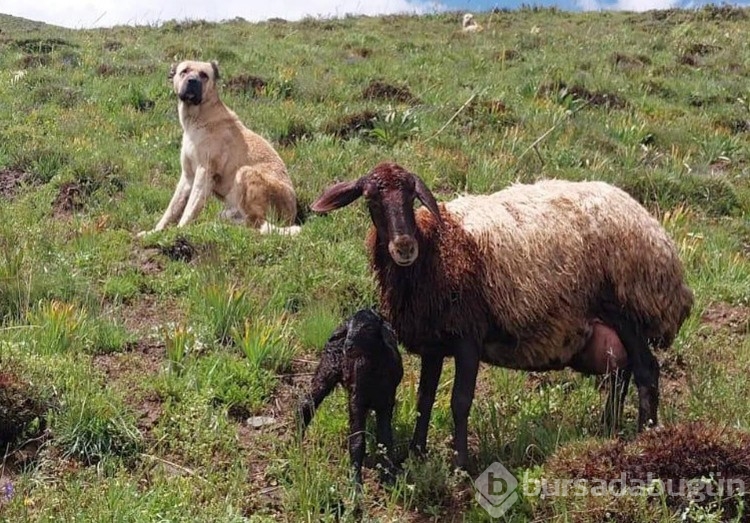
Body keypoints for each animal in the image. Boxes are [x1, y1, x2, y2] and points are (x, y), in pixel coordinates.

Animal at [140, 59, 298, 237]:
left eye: (204, 75)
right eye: (184, 71)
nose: (192, 81)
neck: (198, 118)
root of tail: (293, 214)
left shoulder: (204, 173)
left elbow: (189, 209)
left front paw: (178, 231)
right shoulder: (187, 177)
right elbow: (171, 209)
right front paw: (154, 232)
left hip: (245, 172)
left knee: (256, 224)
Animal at [298, 310, 406, 486]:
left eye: (369, 327)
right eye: (349, 327)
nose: (348, 346)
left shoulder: (387, 402)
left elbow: (385, 439)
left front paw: (388, 477)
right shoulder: (357, 401)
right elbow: (357, 441)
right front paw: (356, 483)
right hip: (327, 368)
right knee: (307, 402)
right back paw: (296, 440)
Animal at [310, 161, 692, 470]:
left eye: (411, 197)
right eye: (371, 200)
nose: (404, 246)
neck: (435, 247)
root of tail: (657, 235)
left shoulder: (468, 336)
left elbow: (460, 401)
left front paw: (460, 465)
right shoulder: (434, 342)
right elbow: (424, 399)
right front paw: (417, 454)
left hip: (628, 307)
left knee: (645, 370)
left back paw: (645, 438)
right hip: (608, 324)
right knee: (619, 373)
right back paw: (609, 430)